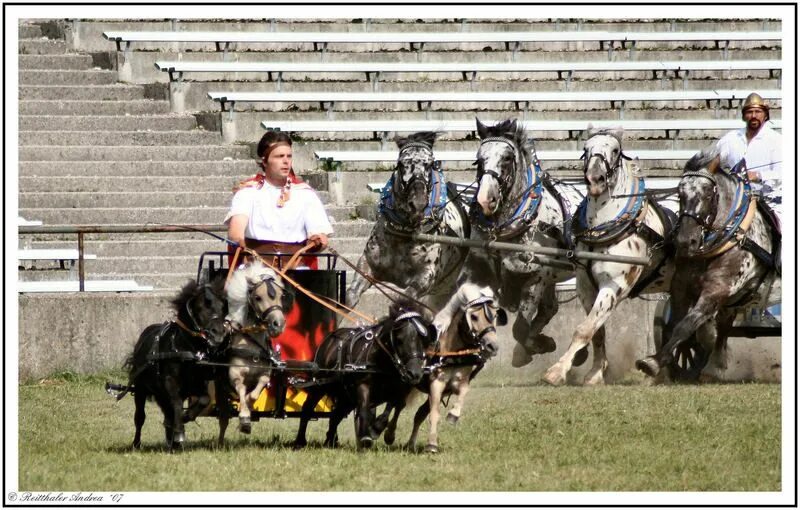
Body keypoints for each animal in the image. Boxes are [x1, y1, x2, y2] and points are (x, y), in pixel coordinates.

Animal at [123, 274, 228, 450]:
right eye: (201, 307)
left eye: (221, 307)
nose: (219, 333)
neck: (186, 348)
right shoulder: (169, 383)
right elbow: (177, 404)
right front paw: (179, 431)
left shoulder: (199, 384)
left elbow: (204, 399)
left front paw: (186, 418)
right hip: (140, 389)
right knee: (140, 417)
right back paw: (137, 444)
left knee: (167, 413)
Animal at [292, 302, 432, 450]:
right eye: (400, 340)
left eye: (425, 341)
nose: (415, 373)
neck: (382, 363)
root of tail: (329, 339)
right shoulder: (363, 386)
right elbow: (365, 409)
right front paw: (366, 436)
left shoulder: (397, 390)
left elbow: (394, 406)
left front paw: (381, 431)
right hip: (320, 385)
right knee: (307, 408)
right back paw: (300, 441)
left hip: (346, 396)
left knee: (336, 415)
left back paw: (330, 441)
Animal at [344, 131, 468, 310]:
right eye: (401, 164)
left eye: (430, 164)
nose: (418, 203)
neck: (403, 234)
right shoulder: (367, 265)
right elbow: (350, 296)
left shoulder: (425, 278)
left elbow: (401, 299)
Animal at [460, 118, 584, 368]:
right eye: (479, 159)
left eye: (507, 158)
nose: (485, 200)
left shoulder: (537, 277)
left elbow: (519, 328)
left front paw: (536, 346)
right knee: (550, 309)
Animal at [636, 146, 780, 378]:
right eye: (680, 193)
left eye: (708, 193)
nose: (686, 240)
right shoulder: (681, 286)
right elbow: (675, 325)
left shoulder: (716, 290)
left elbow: (686, 324)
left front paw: (654, 362)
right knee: (723, 326)